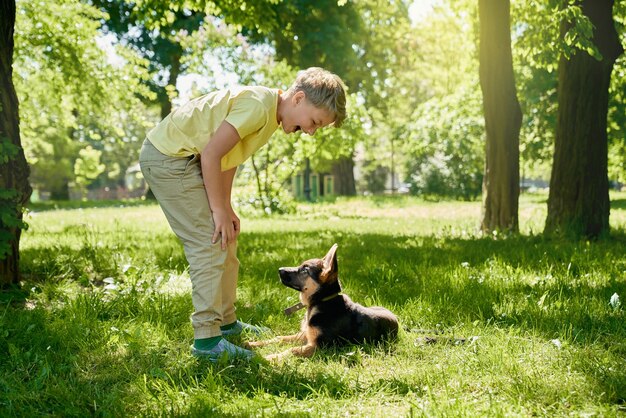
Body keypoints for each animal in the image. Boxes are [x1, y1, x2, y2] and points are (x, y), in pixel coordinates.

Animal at [246, 243, 398, 360]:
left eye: (305, 270)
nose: (279, 269)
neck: (321, 301)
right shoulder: (306, 334)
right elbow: (280, 338)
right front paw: (252, 344)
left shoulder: (319, 346)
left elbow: (293, 350)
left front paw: (268, 357)